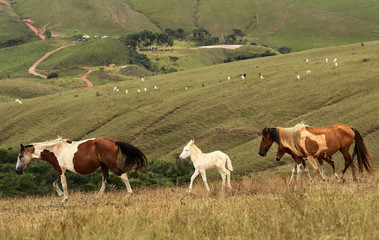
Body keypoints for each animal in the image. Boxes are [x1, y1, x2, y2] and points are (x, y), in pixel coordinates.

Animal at [15, 137, 147, 202]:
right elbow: (54, 183)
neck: (56, 150)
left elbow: (64, 184)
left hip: (111, 165)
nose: (17, 171)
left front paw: (64, 199)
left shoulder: (62, 171)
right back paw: (96, 198)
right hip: (104, 166)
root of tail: (113, 142)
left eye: (20, 156)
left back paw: (129, 195)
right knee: (105, 181)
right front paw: (61, 195)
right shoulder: (60, 170)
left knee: (123, 175)